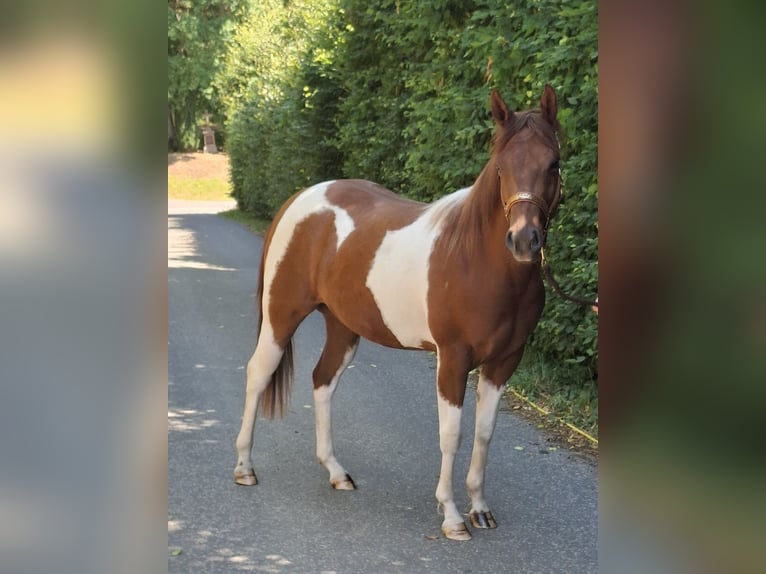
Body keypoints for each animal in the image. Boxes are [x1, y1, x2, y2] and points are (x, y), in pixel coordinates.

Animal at [234, 85, 562, 541]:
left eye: (554, 163)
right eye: (501, 166)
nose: (524, 240)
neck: (474, 259)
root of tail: (299, 199)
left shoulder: (504, 362)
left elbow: (484, 433)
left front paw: (480, 508)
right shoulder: (453, 359)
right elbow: (452, 434)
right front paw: (452, 516)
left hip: (343, 328)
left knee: (322, 382)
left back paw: (336, 472)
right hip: (281, 318)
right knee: (258, 374)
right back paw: (245, 468)